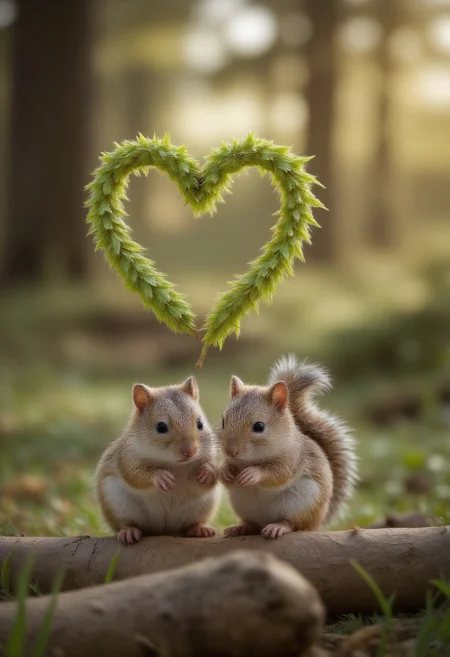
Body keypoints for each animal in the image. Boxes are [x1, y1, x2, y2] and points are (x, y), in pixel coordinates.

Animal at [95, 376, 220, 544]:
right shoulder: (127, 456)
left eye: (200, 423)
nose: (190, 451)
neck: (175, 464)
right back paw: (129, 531)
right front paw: (161, 477)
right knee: (126, 522)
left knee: (191, 524)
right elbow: (135, 475)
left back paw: (199, 529)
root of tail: (165, 530)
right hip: (119, 503)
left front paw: (207, 472)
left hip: (204, 506)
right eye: (161, 427)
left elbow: (213, 474)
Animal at [218, 355, 358, 539]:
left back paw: (278, 526)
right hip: (241, 504)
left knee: (294, 524)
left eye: (259, 426)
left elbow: (279, 474)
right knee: (254, 524)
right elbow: (226, 475)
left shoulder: (293, 458)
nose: (230, 450)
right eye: (223, 421)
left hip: (303, 501)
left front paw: (252, 473)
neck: (250, 459)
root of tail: (318, 522)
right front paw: (225, 471)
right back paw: (242, 528)